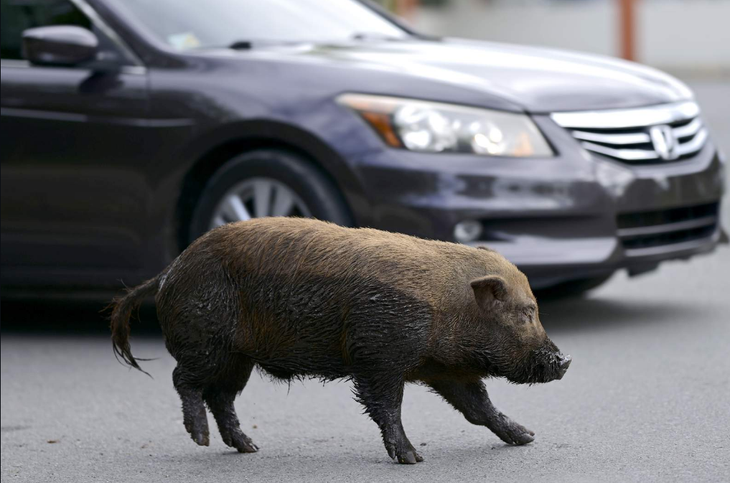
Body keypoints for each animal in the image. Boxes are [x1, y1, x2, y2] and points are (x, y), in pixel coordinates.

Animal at [111, 216, 572, 466]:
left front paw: (526, 437)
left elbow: (479, 408)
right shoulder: (379, 356)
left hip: (238, 358)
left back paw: (250, 448)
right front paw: (412, 459)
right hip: (206, 341)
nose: (565, 361)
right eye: (526, 313)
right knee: (183, 380)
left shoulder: (445, 369)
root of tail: (169, 270)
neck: (447, 308)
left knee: (221, 397)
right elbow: (386, 407)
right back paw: (202, 439)